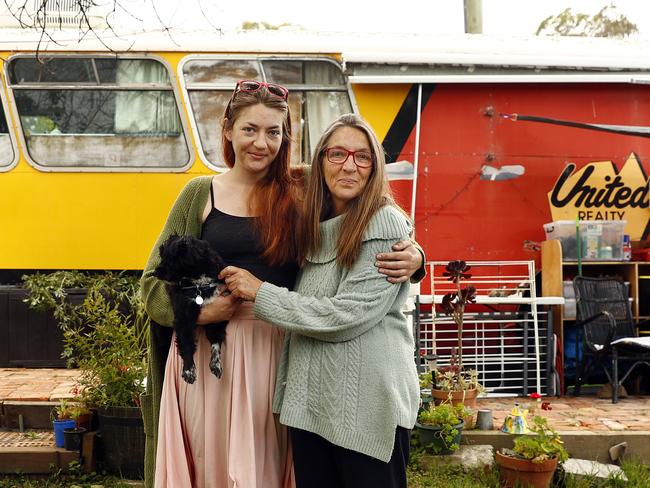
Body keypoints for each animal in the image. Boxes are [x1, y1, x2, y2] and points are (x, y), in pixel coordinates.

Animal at [153, 234, 227, 384]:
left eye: (169, 258)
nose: (154, 272)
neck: (199, 282)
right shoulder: (184, 315)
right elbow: (186, 341)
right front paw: (188, 370)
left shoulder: (217, 314)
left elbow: (216, 340)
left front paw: (216, 364)